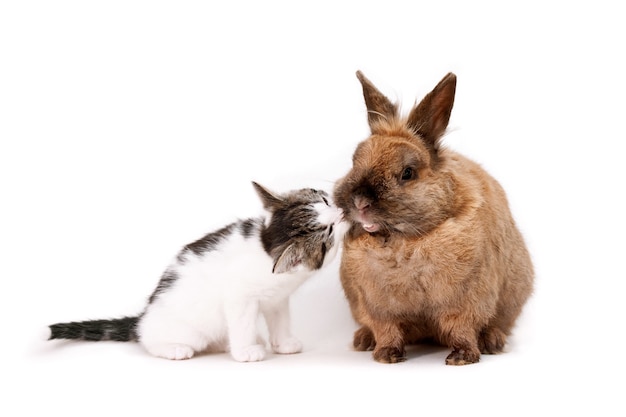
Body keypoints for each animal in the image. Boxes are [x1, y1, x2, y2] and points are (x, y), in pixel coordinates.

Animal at [48, 182, 346, 360]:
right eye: (329, 232)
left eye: (325, 201)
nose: (342, 212)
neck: (266, 248)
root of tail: (143, 317)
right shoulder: (239, 298)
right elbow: (242, 323)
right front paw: (245, 351)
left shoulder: (277, 298)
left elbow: (280, 320)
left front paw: (283, 343)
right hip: (183, 330)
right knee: (150, 340)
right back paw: (174, 348)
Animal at [332, 71, 532, 364]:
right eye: (354, 163)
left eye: (407, 173)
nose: (360, 202)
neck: (403, 243)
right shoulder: (378, 307)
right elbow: (387, 330)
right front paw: (386, 356)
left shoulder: (466, 302)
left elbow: (462, 329)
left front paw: (462, 358)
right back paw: (364, 340)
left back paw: (492, 341)